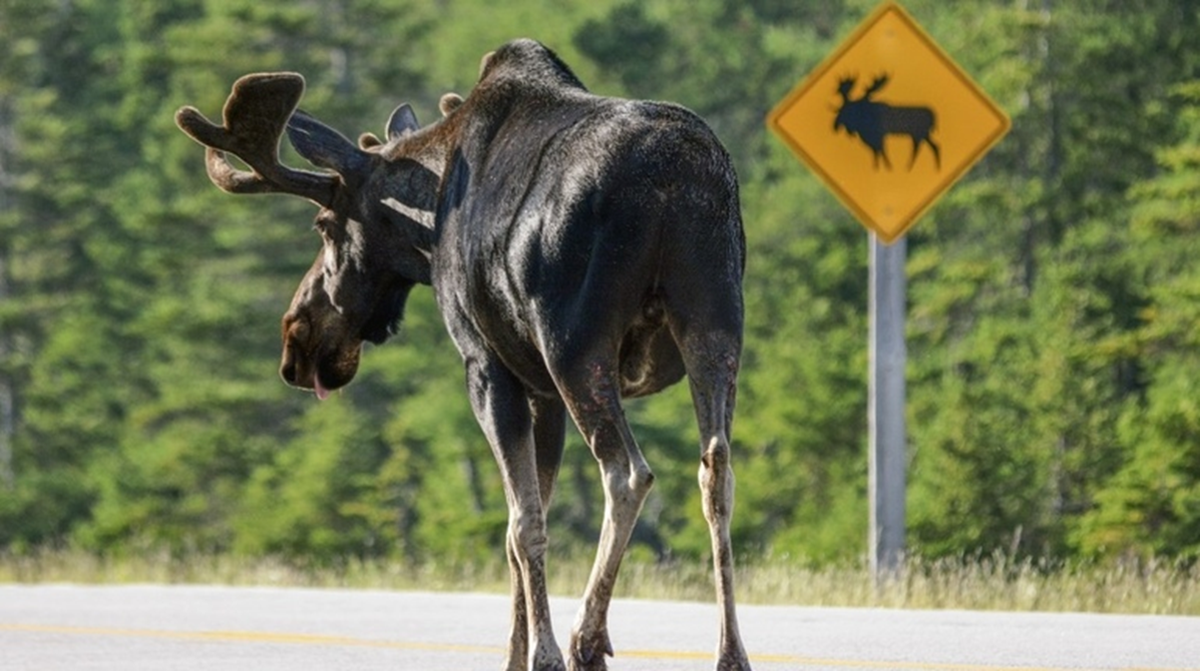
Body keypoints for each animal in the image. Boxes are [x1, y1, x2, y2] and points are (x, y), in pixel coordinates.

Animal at [175, 40, 748, 671]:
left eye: (324, 225)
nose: (296, 343)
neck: (430, 218)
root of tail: (671, 181)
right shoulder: (540, 386)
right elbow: (527, 515)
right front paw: (519, 650)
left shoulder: (489, 365)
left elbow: (522, 524)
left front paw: (539, 654)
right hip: (714, 320)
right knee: (717, 469)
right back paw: (730, 652)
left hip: (577, 343)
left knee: (627, 472)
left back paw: (585, 637)